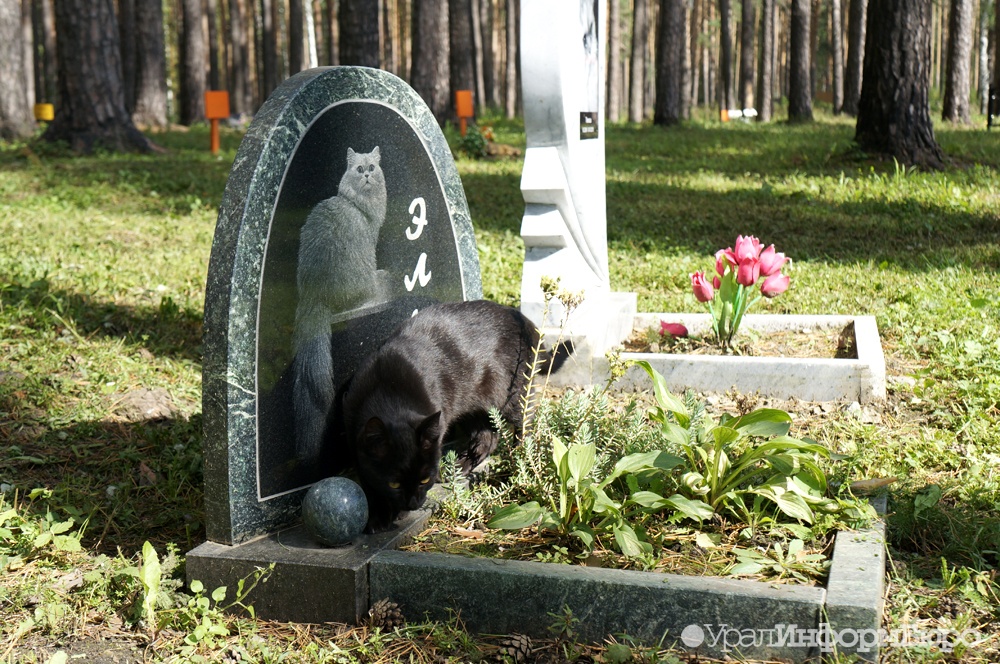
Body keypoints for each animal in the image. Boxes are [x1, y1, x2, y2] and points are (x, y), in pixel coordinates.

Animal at [340, 300, 568, 536]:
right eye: (394, 484)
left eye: (424, 479)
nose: (413, 503)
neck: (388, 391)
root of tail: (526, 322)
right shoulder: (353, 436)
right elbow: (368, 480)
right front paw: (378, 514)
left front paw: (393, 514)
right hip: (473, 405)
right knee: (488, 438)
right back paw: (459, 467)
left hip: (510, 396)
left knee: (526, 421)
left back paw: (522, 457)